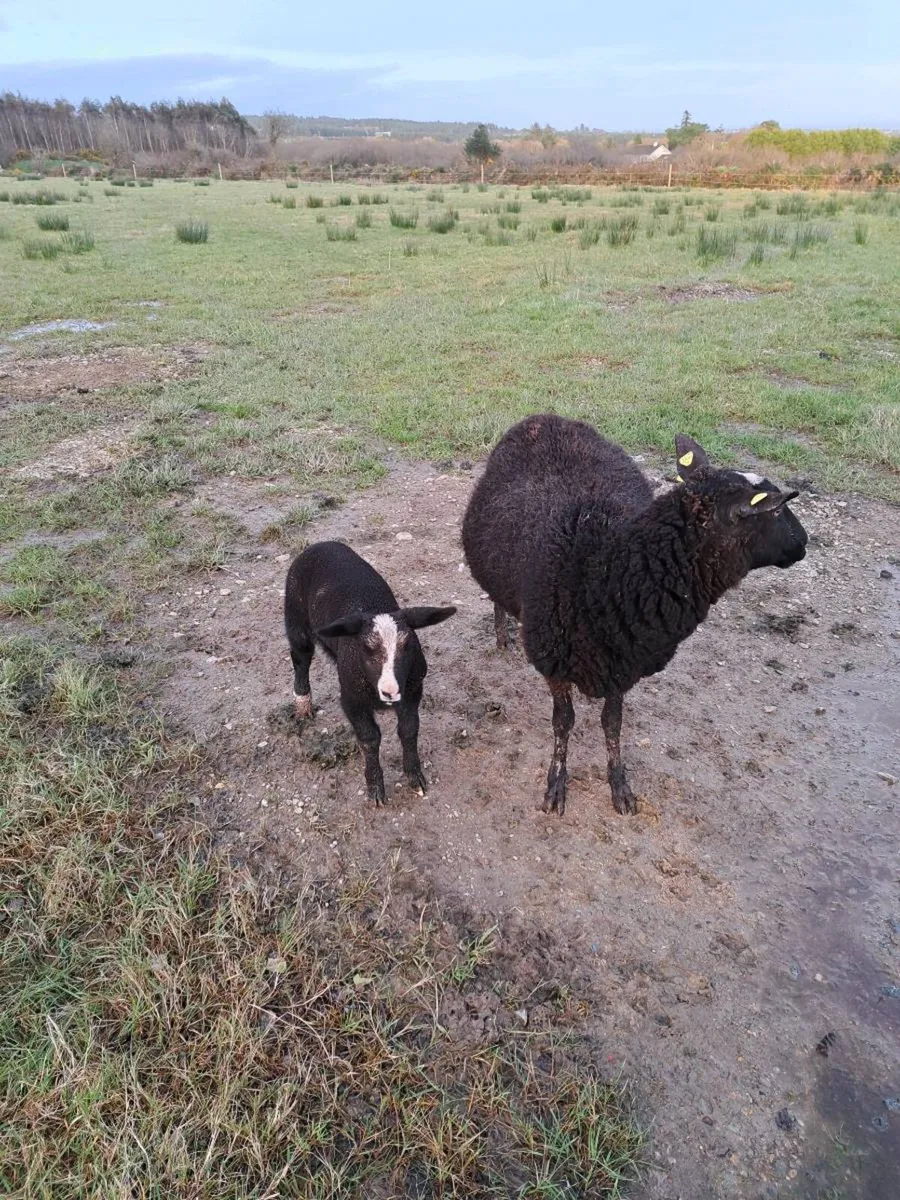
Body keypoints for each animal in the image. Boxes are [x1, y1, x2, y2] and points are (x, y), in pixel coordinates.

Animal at [284, 540, 456, 806]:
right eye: (366, 648)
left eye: (408, 645)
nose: (390, 691)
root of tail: (321, 544)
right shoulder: (351, 699)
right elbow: (369, 738)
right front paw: (375, 787)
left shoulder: (413, 691)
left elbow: (409, 730)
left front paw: (414, 776)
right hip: (295, 617)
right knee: (300, 660)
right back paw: (303, 705)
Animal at [461, 413, 808, 817]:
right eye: (776, 510)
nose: (804, 543)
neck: (604, 570)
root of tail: (545, 418)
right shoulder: (555, 660)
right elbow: (563, 723)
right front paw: (556, 784)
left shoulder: (623, 661)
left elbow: (612, 724)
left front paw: (620, 785)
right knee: (497, 599)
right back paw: (503, 636)